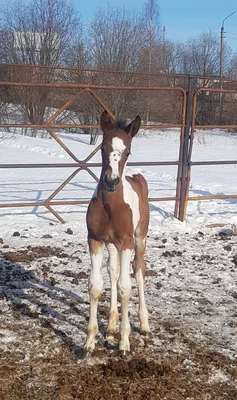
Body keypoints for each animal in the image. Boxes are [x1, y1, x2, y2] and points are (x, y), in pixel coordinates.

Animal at [84, 110, 149, 354]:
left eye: (128, 151)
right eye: (102, 148)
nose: (111, 182)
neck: (111, 205)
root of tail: (135, 177)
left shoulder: (128, 242)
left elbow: (125, 288)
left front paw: (124, 343)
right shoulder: (94, 240)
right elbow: (95, 286)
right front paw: (89, 342)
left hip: (140, 239)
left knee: (138, 272)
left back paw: (144, 324)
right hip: (113, 244)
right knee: (113, 270)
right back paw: (111, 325)